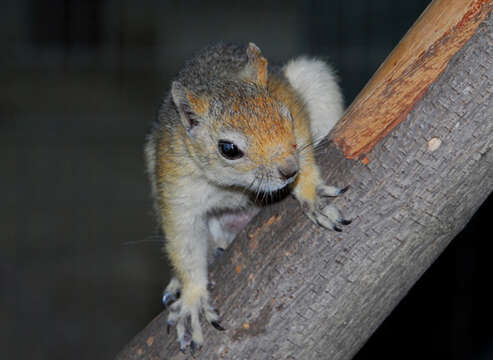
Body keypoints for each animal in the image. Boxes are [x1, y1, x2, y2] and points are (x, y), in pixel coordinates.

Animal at [143, 41, 350, 352]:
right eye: (228, 149)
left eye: (286, 115)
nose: (288, 170)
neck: (234, 186)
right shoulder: (176, 182)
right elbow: (184, 241)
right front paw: (192, 297)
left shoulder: (290, 103)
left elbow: (304, 147)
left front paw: (309, 190)